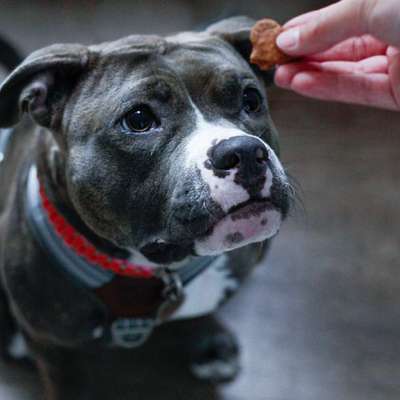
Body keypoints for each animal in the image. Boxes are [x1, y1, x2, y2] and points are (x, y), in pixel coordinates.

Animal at [0, 16, 290, 400]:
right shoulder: (54, 348)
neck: (152, 268)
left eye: (251, 99)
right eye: (138, 119)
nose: (242, 151)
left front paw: (209, 342)